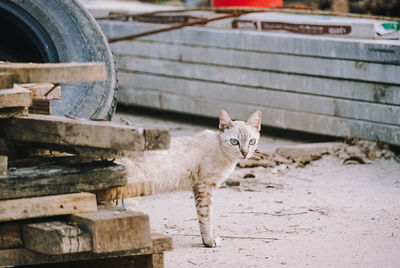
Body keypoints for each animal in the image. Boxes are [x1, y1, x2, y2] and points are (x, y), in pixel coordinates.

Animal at [119, 110, 262, 248]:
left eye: (252, 141)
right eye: (234, 141)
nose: (245, 153)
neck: (222, 150)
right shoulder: (205, 187)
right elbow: (206, 217)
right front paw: (209, 240)